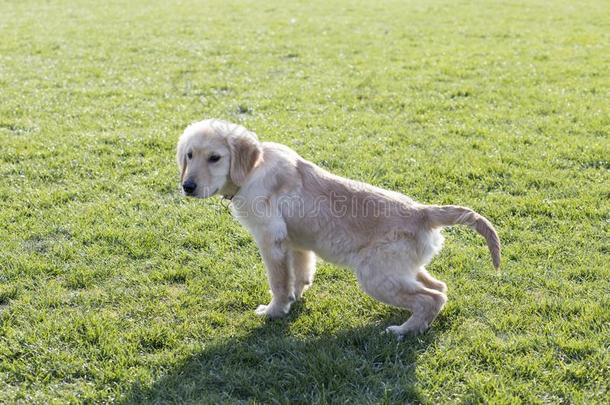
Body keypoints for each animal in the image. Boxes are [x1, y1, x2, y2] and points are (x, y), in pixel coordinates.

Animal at [176, 118, 498, 336]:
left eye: (215, 158)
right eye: (189, 155)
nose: (187, 187)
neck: (254, 169)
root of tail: (423, 212)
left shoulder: (271, 240)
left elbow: (279, 282)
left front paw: (274, 311)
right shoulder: (296, 243)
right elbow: (300, 274)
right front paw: (294, 299)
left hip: (375, 274)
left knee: (431, 298)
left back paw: (403, 331)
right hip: (401, 268)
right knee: (440, 288)